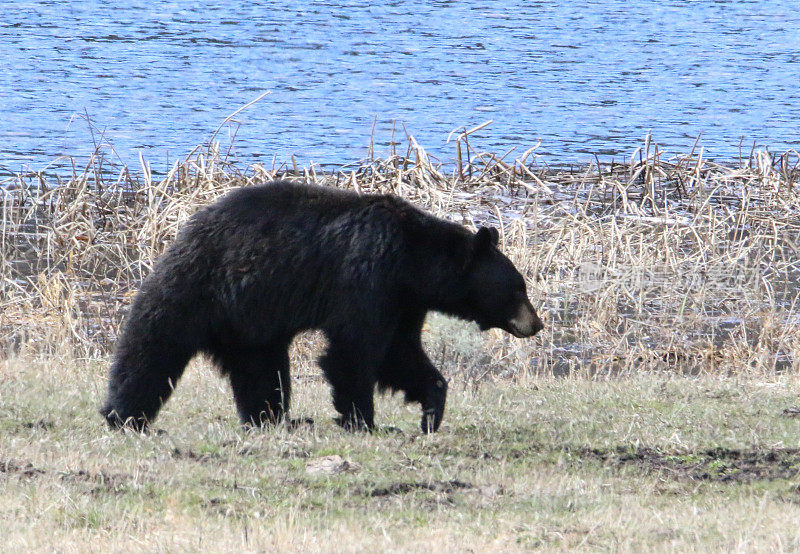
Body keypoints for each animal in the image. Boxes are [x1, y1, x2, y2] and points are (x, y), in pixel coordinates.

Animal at [101, 180, 544, 432]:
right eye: (518, 289)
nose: (535, 324)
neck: (413, 261)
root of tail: (183, 232)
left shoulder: (402, 301)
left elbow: (400, 353)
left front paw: (431, 410)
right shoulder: (367, 275)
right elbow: (354, 349)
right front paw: (364, 422)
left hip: (250, 323)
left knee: (261, 371)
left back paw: (275, 420)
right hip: (198, 289)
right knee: (152, 348)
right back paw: (125, 416)